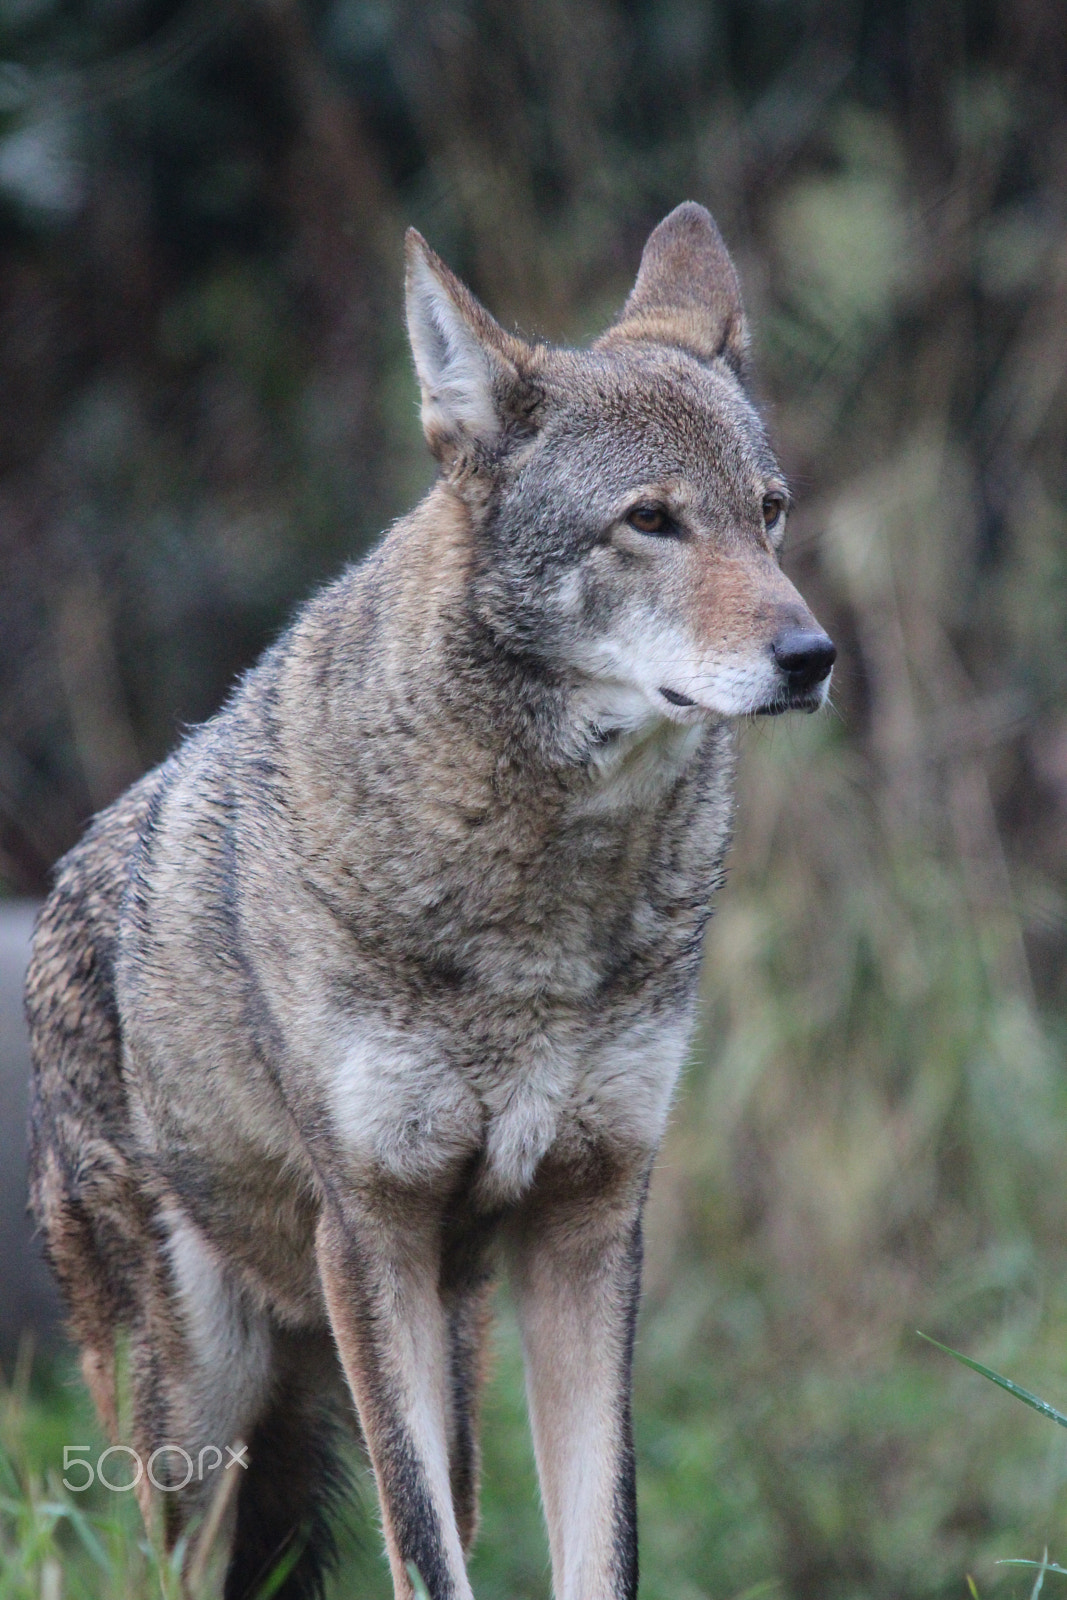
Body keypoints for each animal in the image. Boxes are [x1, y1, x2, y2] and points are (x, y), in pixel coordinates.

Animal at [26, 203, 834, 1600]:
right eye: (651, 520)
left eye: (767, 513)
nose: (811, 655)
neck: (542, 914)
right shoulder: (369, 1239)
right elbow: (424, 1552)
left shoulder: (589, 1226)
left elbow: (596, 1547)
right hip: (194, 1422)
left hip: (446, 1351)